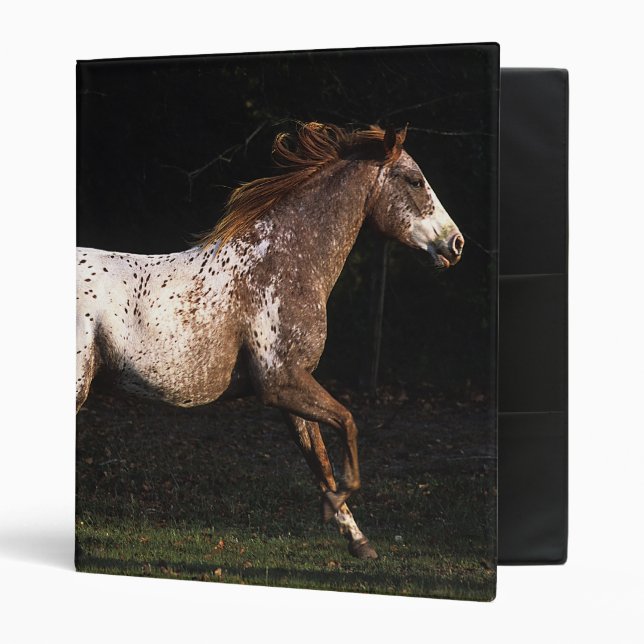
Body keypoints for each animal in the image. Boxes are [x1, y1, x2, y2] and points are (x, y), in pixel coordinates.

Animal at [76, 122, 464, 560]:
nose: (457, 244)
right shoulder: (280, 382)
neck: (283, 263)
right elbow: (347, 424)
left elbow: (321, 462)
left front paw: (358, 540)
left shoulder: (294, 391)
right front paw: (336, 510)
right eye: (415, 180)